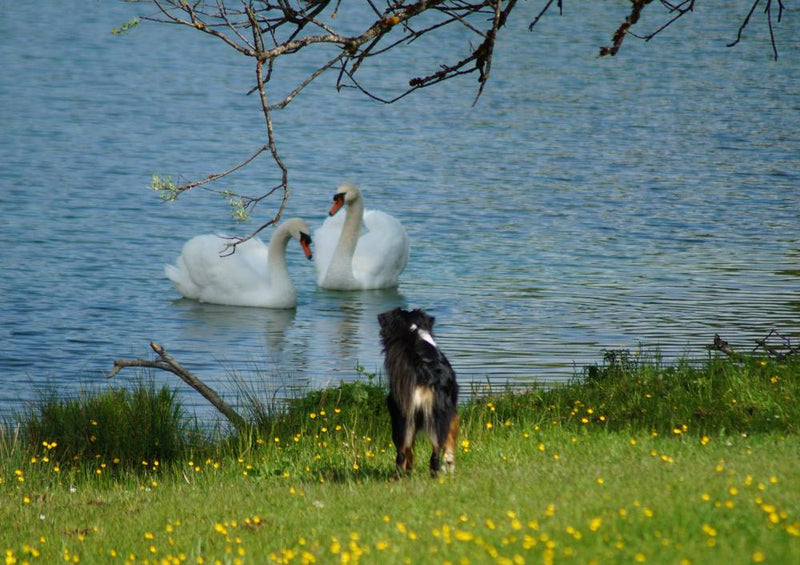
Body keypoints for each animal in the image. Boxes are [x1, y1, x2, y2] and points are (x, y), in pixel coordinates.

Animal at [378, 308, 460, 476]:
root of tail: (425, 371)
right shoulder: (451, 412)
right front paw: (449, 464)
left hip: (401, 417)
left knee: (402, 452)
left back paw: (400, 476)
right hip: (438, 415)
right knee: (435, 453)